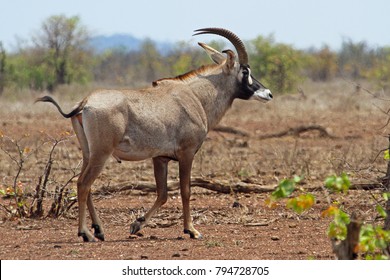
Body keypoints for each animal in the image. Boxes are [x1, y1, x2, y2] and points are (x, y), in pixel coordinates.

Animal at [37, 28, 274, 242]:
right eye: (245, 71)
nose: (268, 93)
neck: (196, 96)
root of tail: (85, 103)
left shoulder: (160, 158)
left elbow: (163, 194)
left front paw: (137, 224)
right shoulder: (187, 153)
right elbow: (185, 191)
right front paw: (191, 230)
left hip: (88, 153)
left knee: (83, 184)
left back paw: (99, 230)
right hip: (101, 153)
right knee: (84, 184)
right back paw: (86, 233)